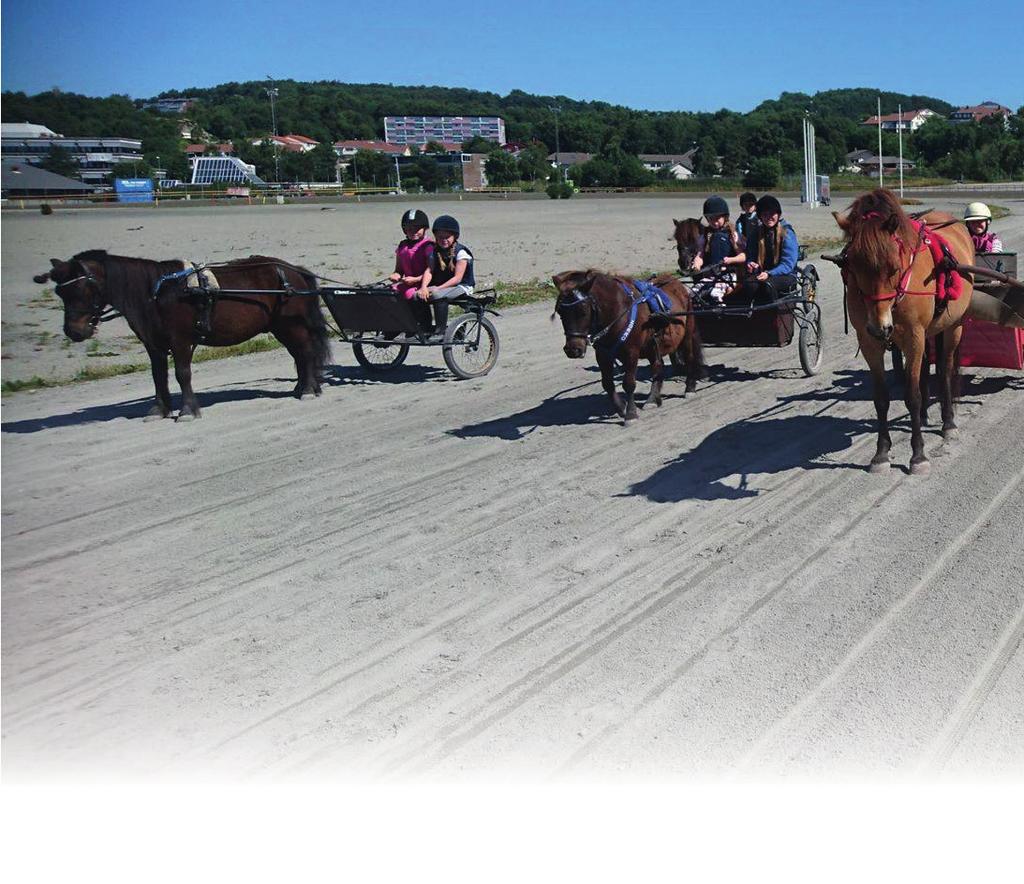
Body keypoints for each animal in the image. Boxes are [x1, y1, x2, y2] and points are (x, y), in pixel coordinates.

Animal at [34, 250, 329, 419]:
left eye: (83, 289)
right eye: (60, 291)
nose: (74, 331)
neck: (159, 292)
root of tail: (293, 270)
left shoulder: (180, 340)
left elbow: (182, 374)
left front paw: (187, 410)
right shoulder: (153, 344)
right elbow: (158, 376)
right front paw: (160, 409)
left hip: (290, 324)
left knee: (305, 352)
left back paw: (308, 389)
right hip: (280, 327)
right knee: (299, 355)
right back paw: (304, 386)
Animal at [552, 270, 704, 422]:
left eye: (583, 311)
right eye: (560, 312)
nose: (573, 349)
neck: (618, 311)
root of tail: (677, 283)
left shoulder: (631, 352)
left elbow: (629, 383)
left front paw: (631, 414)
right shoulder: (602, 354)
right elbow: (607, 383)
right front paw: (621, 408)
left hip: (686, 335)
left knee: (690, 357)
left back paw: (690, 388)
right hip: (652, 346)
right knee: (657, 367)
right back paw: (652, 399)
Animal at [831, 189, 974, 473]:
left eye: (893, 266)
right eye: (852, 265)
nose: (880, 326)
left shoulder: (913, 335)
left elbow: (912, 395)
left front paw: (918, 455)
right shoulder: (869, 341)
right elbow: (881, 398)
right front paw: (881, 453)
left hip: (954, 326)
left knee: (945, 369)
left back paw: (948, 422)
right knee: (926, 369)